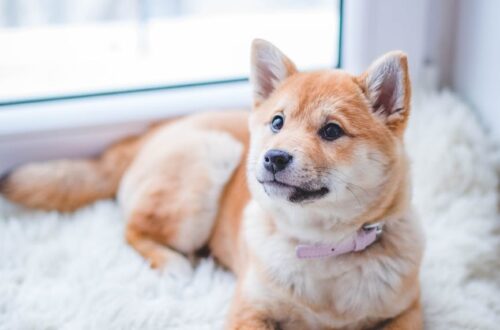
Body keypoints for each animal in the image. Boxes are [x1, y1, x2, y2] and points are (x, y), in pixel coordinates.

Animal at [0, 40, 422, 328]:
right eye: (277, 122)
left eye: (332, 131)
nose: (274, 158)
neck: (323, 248)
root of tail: (151, 132)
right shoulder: (250, 308)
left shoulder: (407, 311)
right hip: (206, 167)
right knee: (133, 230)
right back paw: (174, 263)